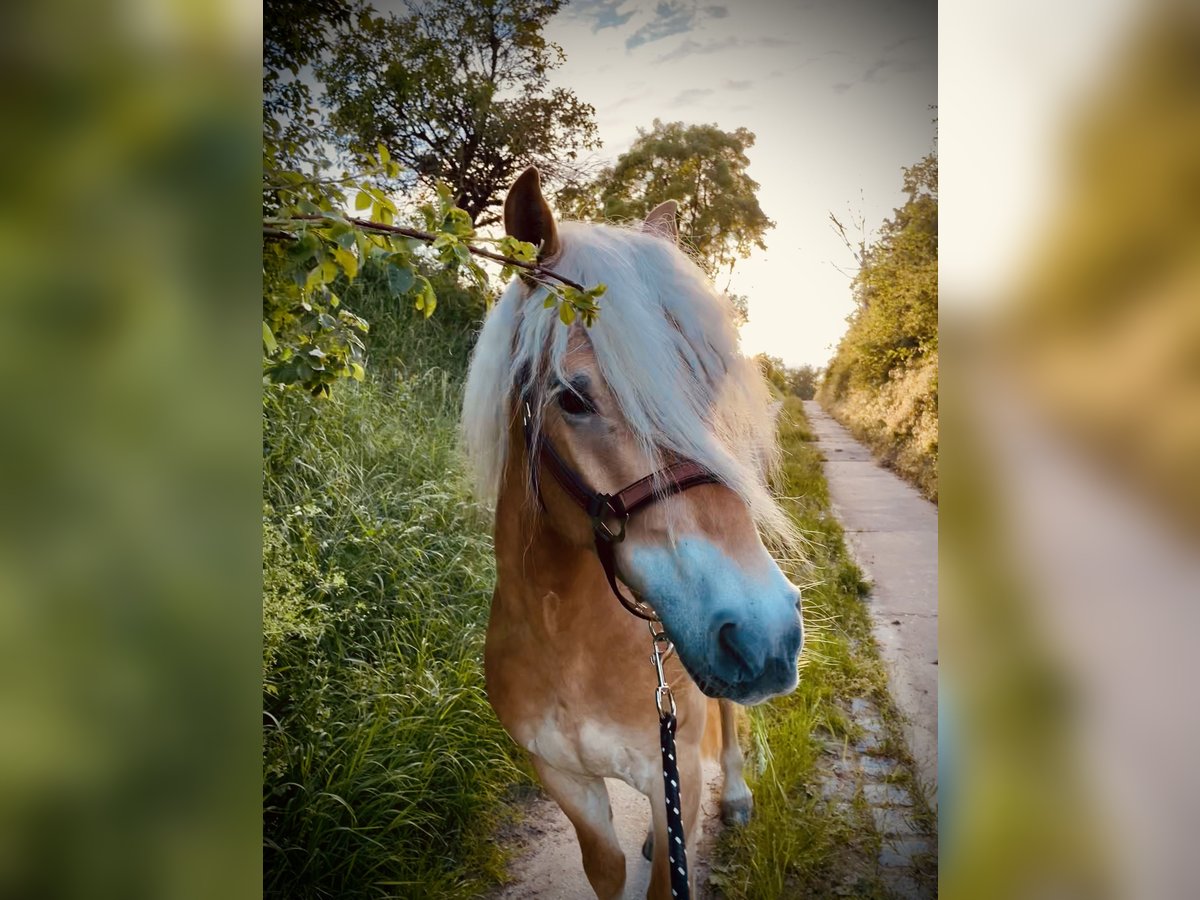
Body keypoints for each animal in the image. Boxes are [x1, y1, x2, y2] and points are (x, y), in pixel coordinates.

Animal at [461, 167, 805, 899]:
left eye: (713, 384)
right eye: (572, 397)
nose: (764, 631)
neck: (567, 638)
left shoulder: (673, 772)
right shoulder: (566, 781)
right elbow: (610, 870)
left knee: (728, 719)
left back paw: (736, 794)